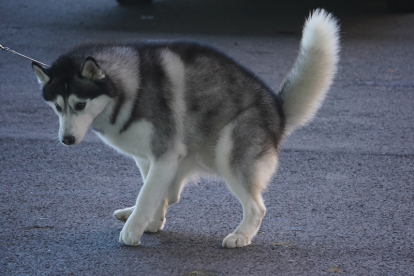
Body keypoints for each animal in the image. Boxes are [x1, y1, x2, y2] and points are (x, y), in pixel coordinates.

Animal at [31, 9, 340, 247]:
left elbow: (147, 195)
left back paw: (241, 236)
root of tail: (277, 108)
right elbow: (152, 192)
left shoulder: (165, 154)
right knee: (172, 194)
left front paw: (132, 233)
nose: (67, 139)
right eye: (57, 107)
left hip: (227, 152)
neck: (130, 88)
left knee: (256, 207)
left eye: (80, 105)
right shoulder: (150, 157)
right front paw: (150, 223)